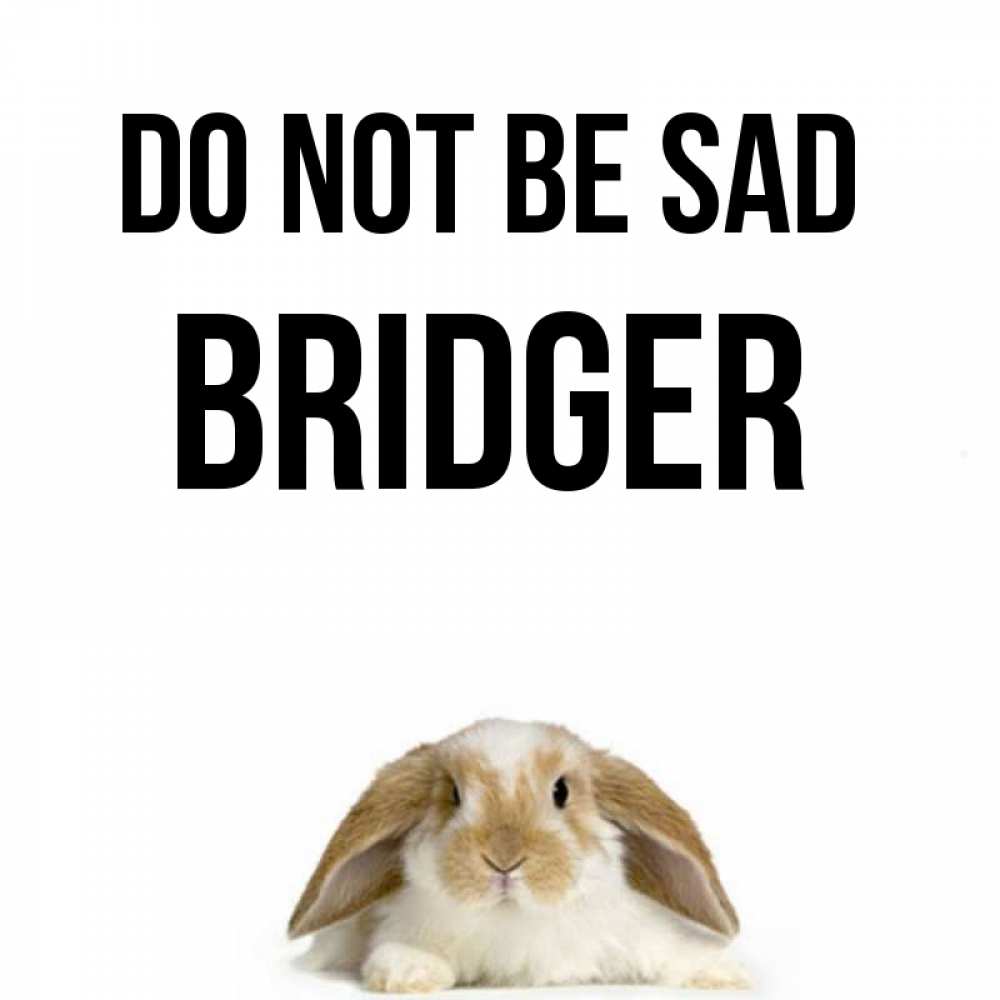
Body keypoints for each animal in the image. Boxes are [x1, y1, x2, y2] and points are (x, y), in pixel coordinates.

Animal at [288, 719, 750, 991]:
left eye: (561, 791)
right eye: (453, 795)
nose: (504, 859)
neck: (514, 918)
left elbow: (674, 950)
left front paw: (725, 973)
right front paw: (410, 973)